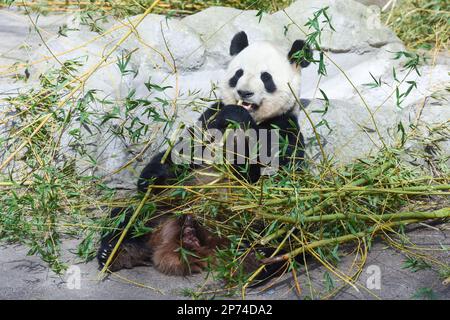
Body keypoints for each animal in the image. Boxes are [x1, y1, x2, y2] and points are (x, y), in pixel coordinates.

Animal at [97, 31, 312, 278]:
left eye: (266, 77)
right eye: (238, 74)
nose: (244, 92)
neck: (255, 119)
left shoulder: (283, 127)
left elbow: (272, 176)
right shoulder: (209, 117)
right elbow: (180, 152)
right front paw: (153, 175)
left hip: (261, 224)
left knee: (283, 233)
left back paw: (261, 264)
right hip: (162, 209)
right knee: (128, 216)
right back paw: (116, 251)